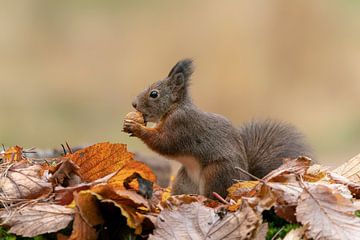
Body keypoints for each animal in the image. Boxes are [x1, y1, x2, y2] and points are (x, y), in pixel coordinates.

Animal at [122, 59, 310, 198]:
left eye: (154, 94)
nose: (134, 104)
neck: (174, 108)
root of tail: (244, 180)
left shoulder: (182, 124)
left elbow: (164, 143)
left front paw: (136, 127)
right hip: (183, 180)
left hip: (216, 172)